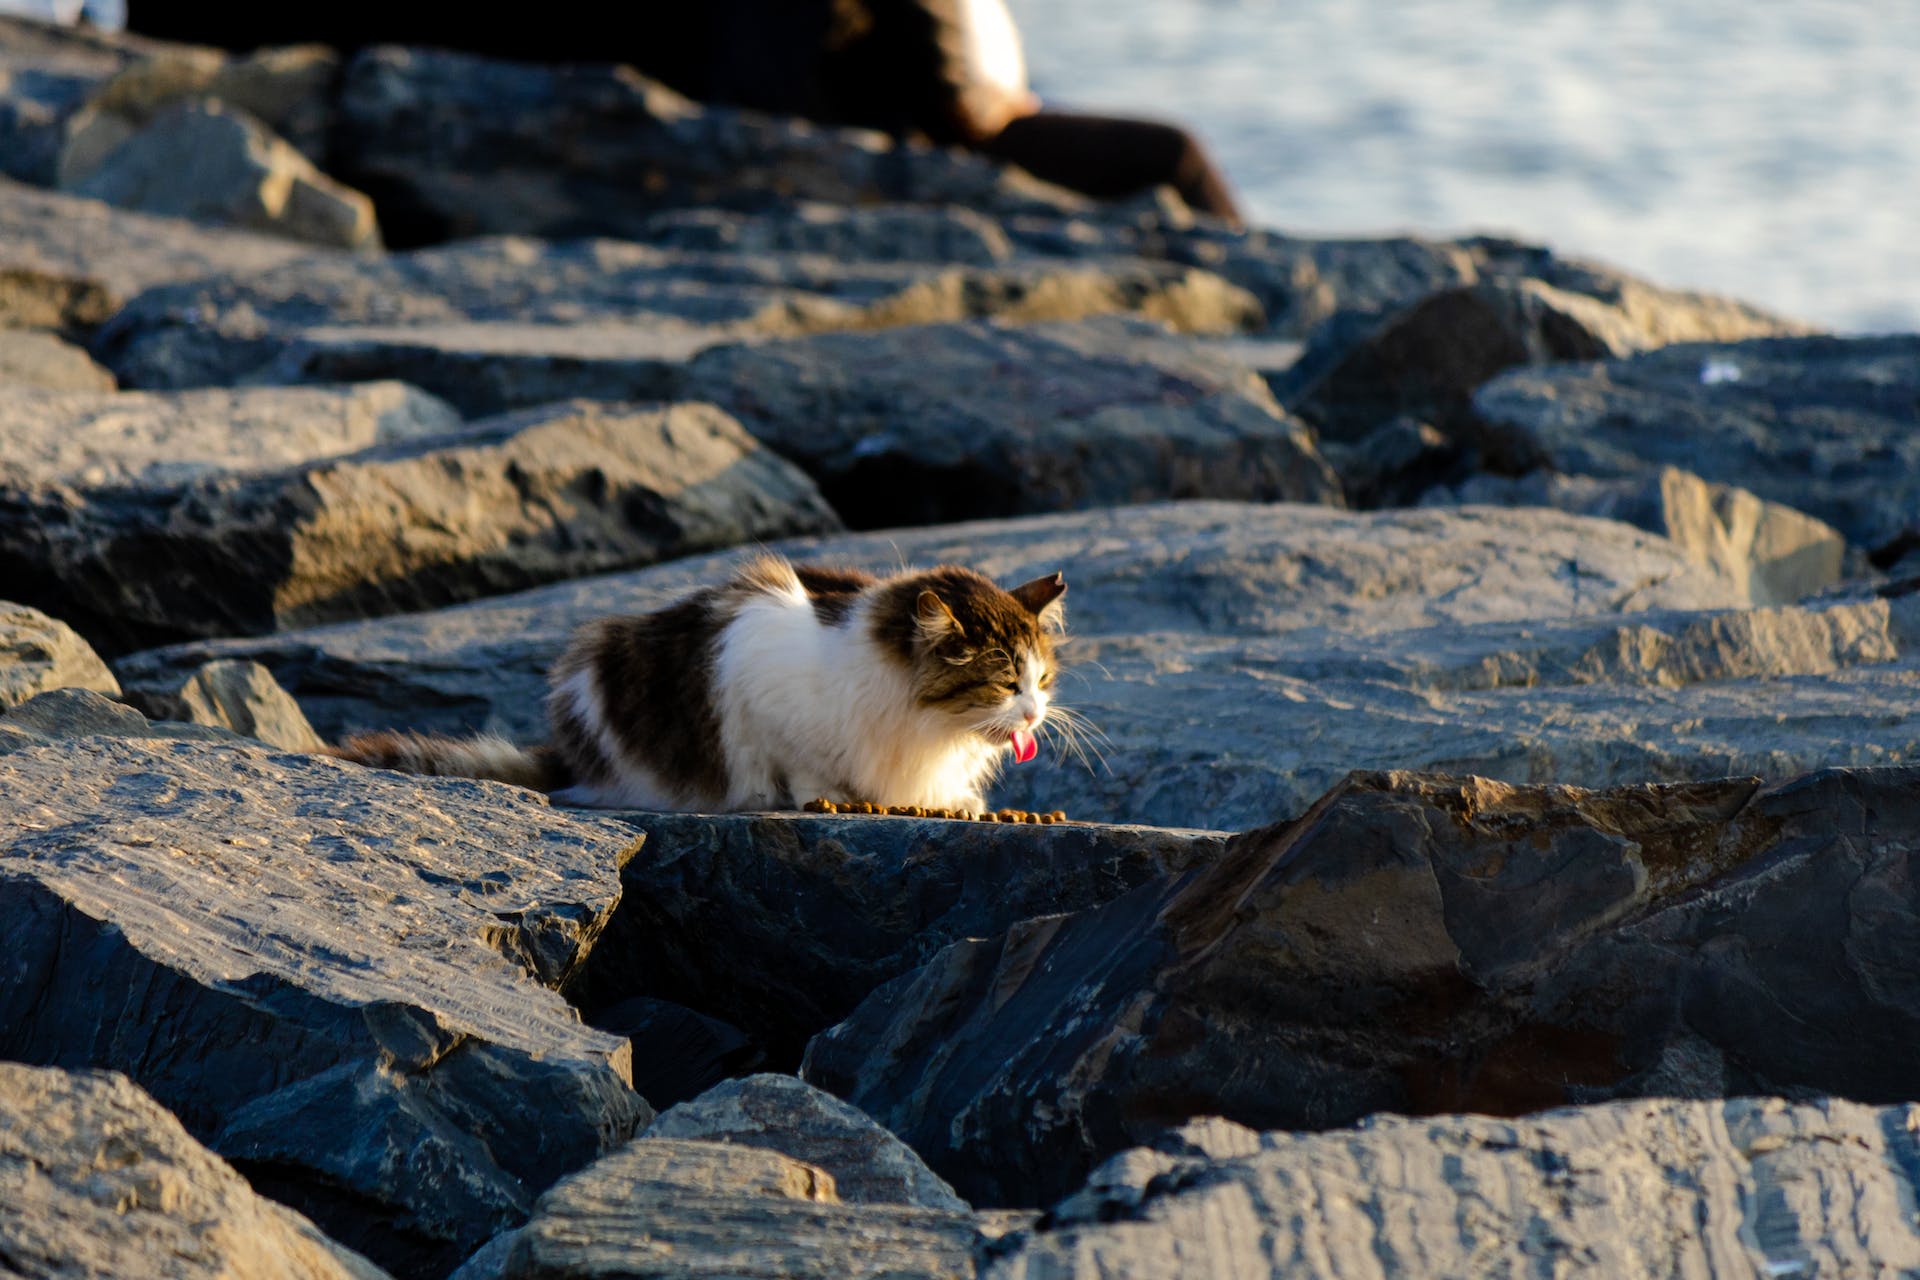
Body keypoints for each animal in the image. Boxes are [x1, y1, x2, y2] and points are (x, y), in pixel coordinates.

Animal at [334, 552, 1082, 809]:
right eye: (1004, 684)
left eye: (1042, 679)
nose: (1036, 716)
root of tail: (569, 754)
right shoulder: (757, 689)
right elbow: (805, 768)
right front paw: (830, 797)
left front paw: (956, 803)